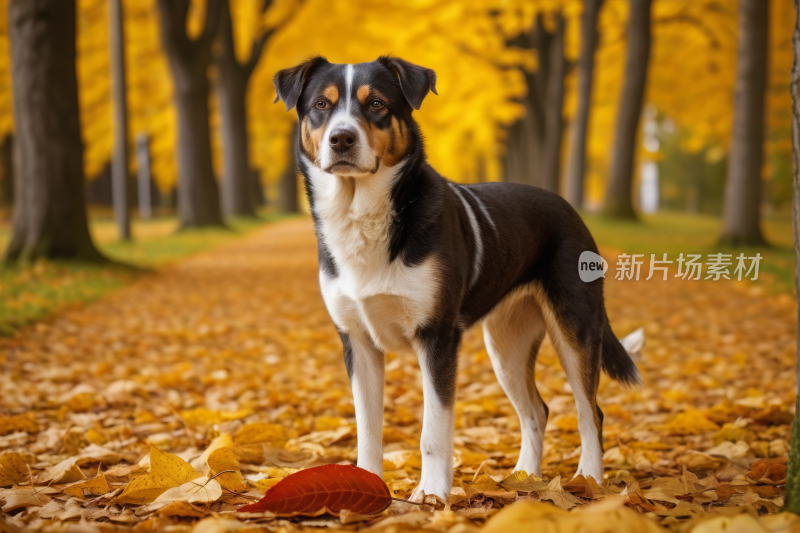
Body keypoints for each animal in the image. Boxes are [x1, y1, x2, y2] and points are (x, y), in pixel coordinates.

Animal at [274, 56, 644, 500]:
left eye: (377, 103)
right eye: (321, 105)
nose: (341, 139)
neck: (364, 217)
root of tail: (570, 209)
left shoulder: (438, 337)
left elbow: (433, 431)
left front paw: (432, 493)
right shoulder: (357, 341)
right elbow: (367, 430)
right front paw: (367, 486)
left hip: (574, 328)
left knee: (591, 413)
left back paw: (589, 479)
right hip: (505, 345)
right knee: (537, 411)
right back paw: (525, 476)